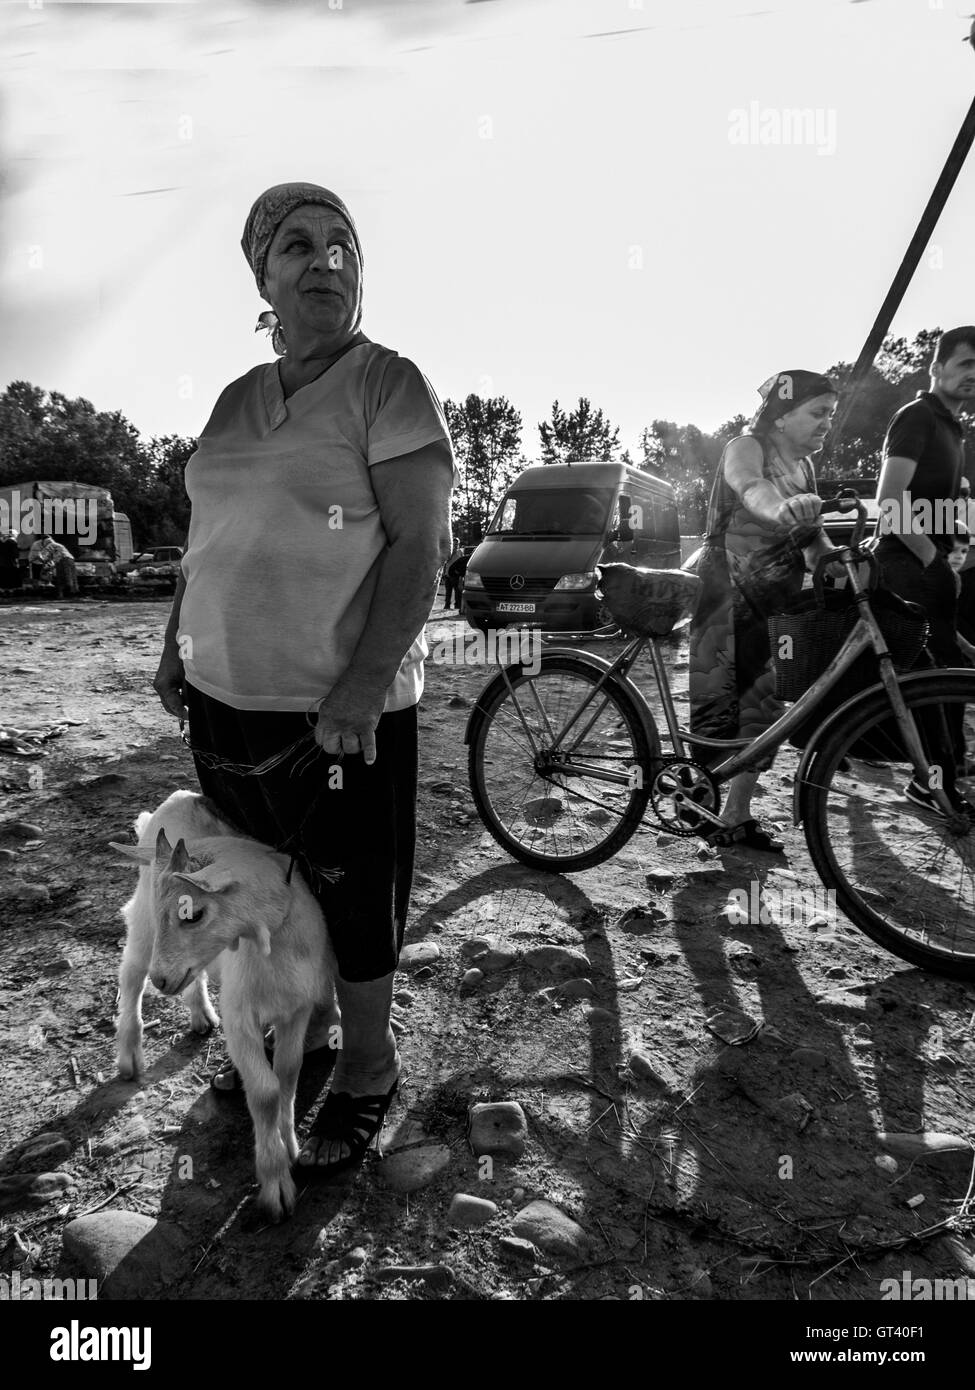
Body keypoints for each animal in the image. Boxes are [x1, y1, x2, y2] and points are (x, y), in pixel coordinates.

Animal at [111, 789, 335, 1223]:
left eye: (193, 913)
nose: (163, 981)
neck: (274, 943)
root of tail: (176, 800)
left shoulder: (296, 1009)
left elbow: (288, 1072)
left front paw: (290, 1146)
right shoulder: (241, 1016)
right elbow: (264, 1092)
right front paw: (275, 1186)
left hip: (192, 961)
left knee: (190, 974)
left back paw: (199, 1013)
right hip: (144, 923)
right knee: (130, 975)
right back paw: (129, 1055)